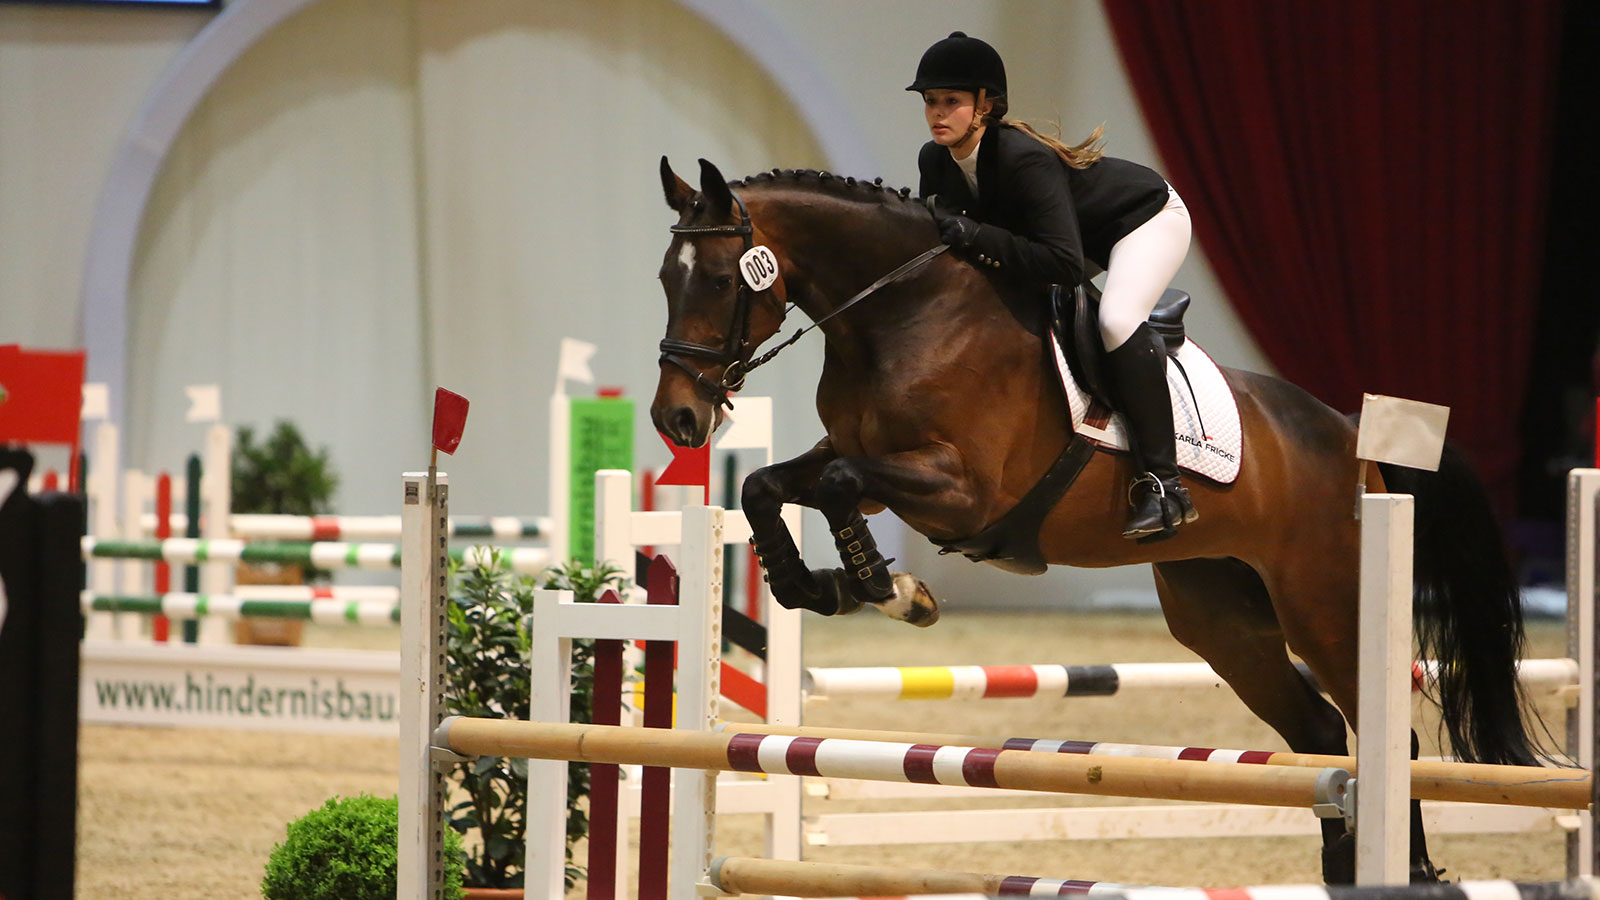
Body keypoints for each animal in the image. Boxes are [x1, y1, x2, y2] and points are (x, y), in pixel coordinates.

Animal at [646, 157, 1536, 877]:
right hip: (1223, 618)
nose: (676, 420)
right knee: (1317, 733)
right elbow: (769, 486)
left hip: (1324, 604)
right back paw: (1341, 871)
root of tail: (1351, 433)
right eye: (664, 277)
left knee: (1388, 738)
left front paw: (889, 591)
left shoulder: (961, 490)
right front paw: (816, 586)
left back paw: (1406, 869)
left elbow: (831, 483)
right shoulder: (874, 471)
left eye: (719, 280)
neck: (900, 315)